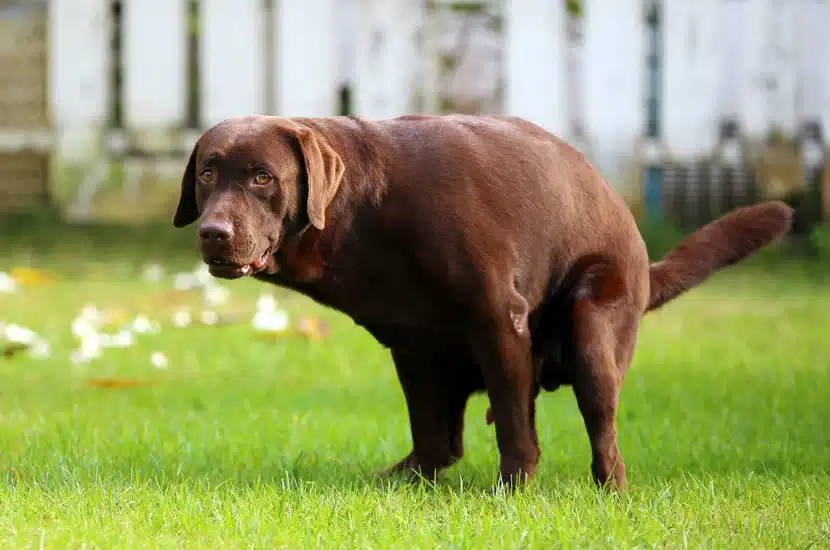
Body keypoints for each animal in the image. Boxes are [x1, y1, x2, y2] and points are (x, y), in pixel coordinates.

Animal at [172, 113, 796, 492]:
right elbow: (432, 434)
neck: (367, 213)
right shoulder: (412, 347)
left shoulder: (499, 321)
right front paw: (409, 483)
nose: (213, 233)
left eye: (262, 178)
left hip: (595, 326)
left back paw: (610, 492)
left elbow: (517, 430)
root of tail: (643, 256)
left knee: (604, 434)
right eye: (207, 172)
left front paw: (512, 493)